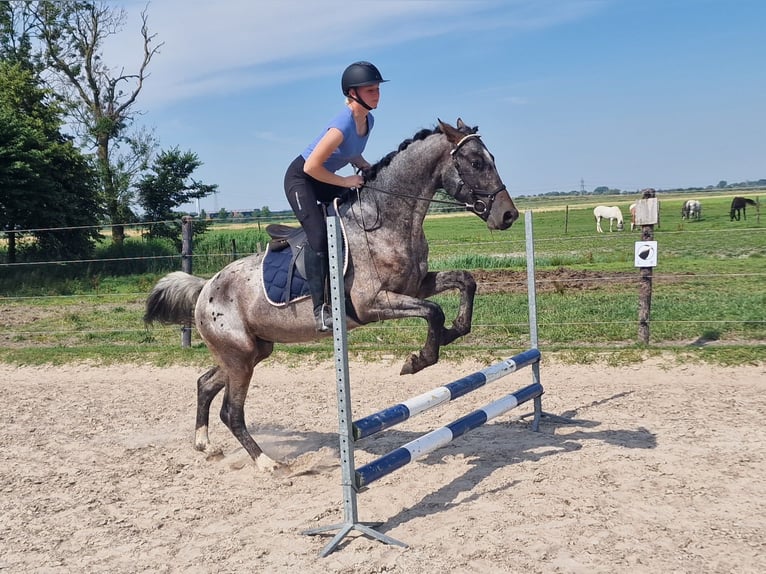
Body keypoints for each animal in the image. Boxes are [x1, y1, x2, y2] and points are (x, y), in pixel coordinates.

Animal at [142, 118, 520, 472]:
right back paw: (269, 464)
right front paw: (418, 360)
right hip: (239, 357)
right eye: (476, 163)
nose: (508, 215)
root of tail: (205, 288)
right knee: (231, 412)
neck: (383, 222)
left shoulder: (416, 285)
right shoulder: (373, 304)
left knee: (205, 384)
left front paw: (452, 333)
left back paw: (205, 446)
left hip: (252, 351)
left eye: (491, 159)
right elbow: (432, 311)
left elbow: (465, 282)